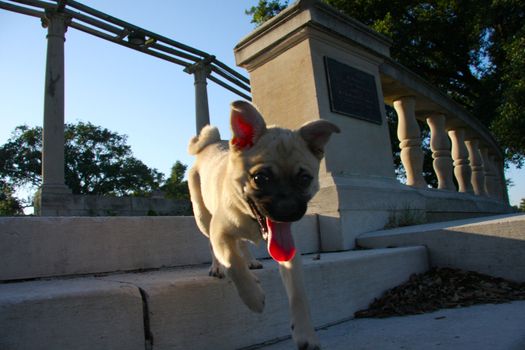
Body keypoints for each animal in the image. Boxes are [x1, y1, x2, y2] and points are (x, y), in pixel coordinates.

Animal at [188, 100, 340, 348]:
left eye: (304, 179)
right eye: (260, 178)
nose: (288, 209)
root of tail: (210, 144)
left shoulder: (289, 254)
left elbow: (298, 294)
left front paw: (305, 334)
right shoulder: (220, 232)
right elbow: (233, 263)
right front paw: (253, 297)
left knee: (242, 244)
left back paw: (250, 261)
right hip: (202, 217)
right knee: (214, 245)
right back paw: (218, 267)